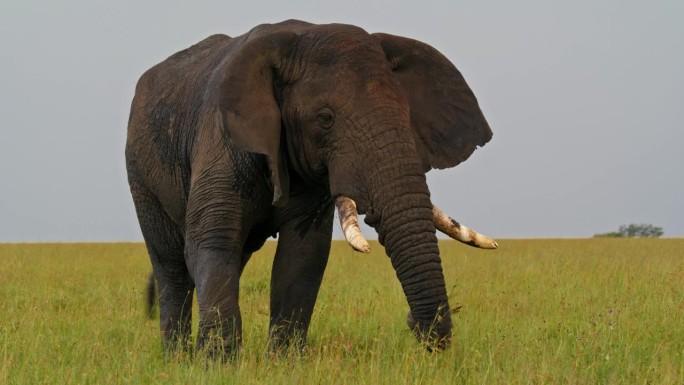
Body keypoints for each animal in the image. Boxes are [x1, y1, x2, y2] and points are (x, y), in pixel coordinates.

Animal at [125, 19, 494, 356]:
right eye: (325, 118)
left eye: (407, 115)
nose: (414, 324)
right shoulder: (222, 141)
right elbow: (212, 241)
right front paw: (218, 365)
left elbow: (303, 254)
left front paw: (283, 363)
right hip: (140, 172)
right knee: (172, 265)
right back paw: (176, 357)